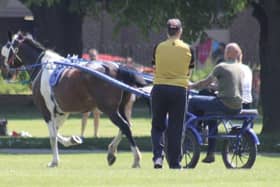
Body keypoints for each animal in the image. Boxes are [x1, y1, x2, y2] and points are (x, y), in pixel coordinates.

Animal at [0, 31, 149, 167]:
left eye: (4, 51)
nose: (5, 72)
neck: (43, 67)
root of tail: (118, 68)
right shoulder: (61, 111)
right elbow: (56, 132)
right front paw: (72, 140)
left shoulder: (46, 110)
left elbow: (52, 135)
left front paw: (55, 161)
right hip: (121, 107)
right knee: (126, 126)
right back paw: (111, 153)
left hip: (109, 109)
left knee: (124, 126)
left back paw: (136, 158)